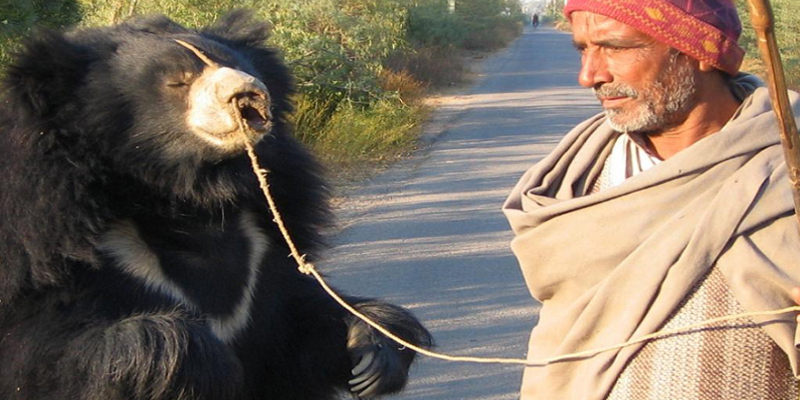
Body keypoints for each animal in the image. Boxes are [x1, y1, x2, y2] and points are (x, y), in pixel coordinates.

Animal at [0, 9, 432, 400]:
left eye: (236, 65)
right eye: (177, 81)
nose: (248, 92)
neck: (187, 200)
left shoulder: (264, 255)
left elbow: (295, 329)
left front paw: (373, 349)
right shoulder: (51, 243)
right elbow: (46, 354)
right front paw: (203, 361)